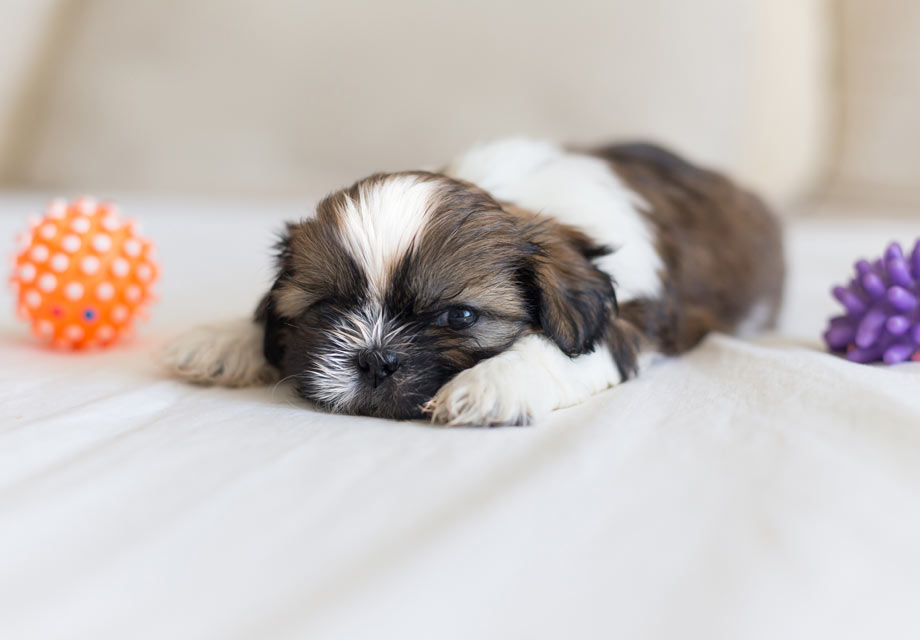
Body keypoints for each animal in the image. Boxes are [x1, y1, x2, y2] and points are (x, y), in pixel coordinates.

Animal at [164, 139, 784, 424]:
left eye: (459, 316)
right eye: (326, 308)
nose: (374, 359)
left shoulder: (626, 318)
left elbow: (562, 350)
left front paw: (492, 383)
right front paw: (222, 339)